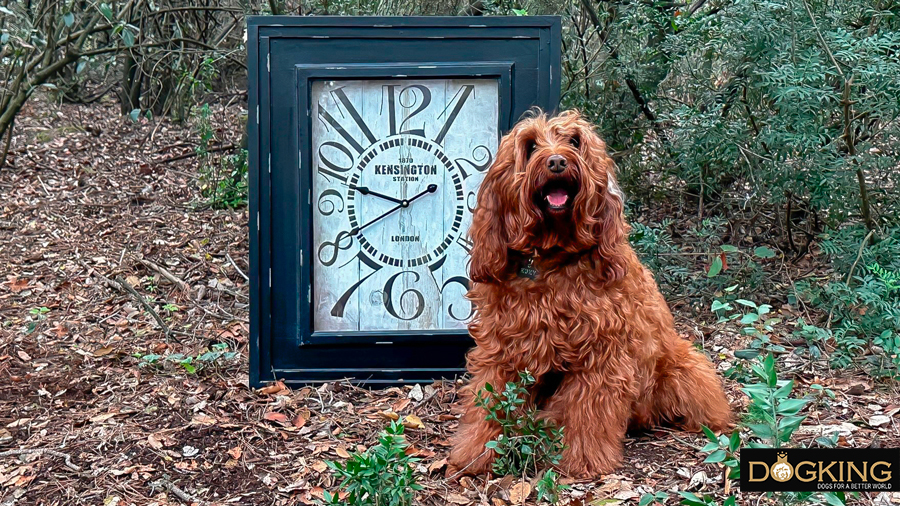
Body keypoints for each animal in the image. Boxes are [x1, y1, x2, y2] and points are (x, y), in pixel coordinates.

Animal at [446, 109, 728, 478]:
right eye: (530, 146)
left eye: (575, 141)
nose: (556, 161)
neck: (551, 259)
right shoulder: (501, 349)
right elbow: (488, 400)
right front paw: (477, 452)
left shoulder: (602, 356)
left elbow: (589, 412)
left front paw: (583, 459)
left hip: (682, 368)